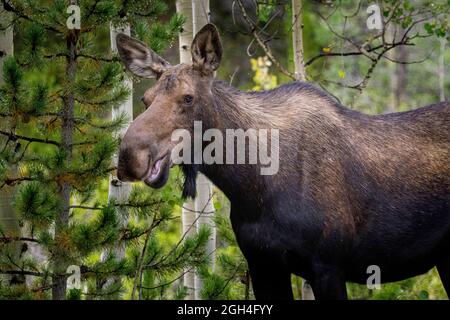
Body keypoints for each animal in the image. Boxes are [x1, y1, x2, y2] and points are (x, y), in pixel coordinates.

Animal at [115, 23, 450, 300]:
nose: (129, 157)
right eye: (145, 99)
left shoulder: (328, 266)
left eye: (187, 97)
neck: (250, 186)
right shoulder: (263, 265)